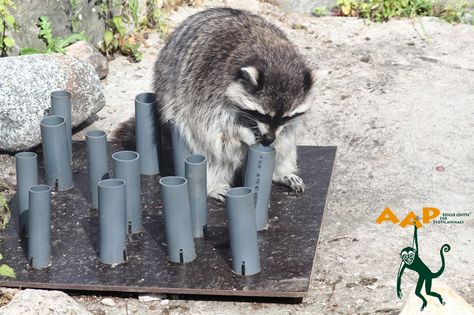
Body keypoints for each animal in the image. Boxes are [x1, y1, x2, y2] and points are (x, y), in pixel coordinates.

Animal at [155, 7, 314, 201]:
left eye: (286, 117)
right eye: (263, 115)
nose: (268, 139)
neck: (271, 50)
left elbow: (289, 132)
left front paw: (276, 146)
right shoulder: (206, 88)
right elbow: (217, 127)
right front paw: (244, 133)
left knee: (287, 147)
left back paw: (280, 171)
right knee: (206, 149)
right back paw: (213, 184)